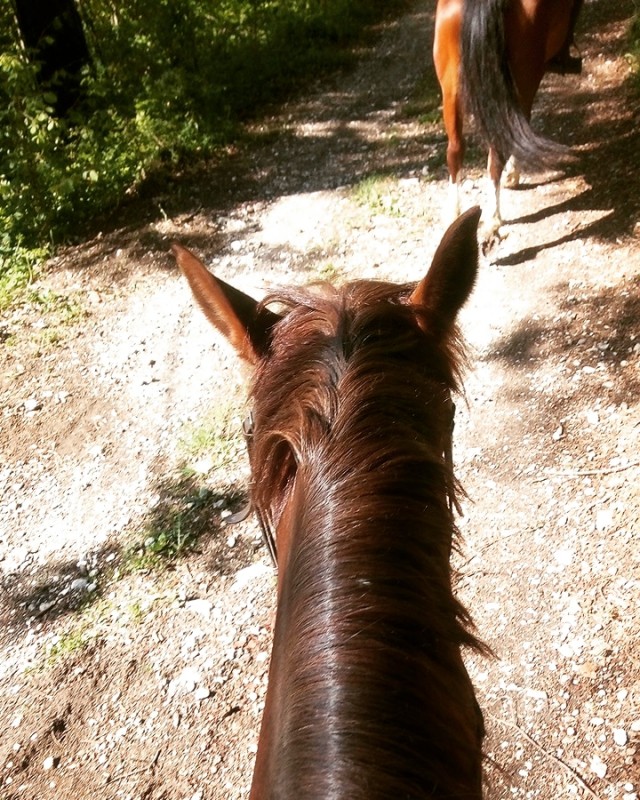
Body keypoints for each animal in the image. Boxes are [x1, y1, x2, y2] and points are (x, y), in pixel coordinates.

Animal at [433, 0, 582, 232]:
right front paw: (512, 174)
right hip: (523, 81)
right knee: (499, 148)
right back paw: (494, 217)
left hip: (451, 91)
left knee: (455, 150)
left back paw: (454, 213)